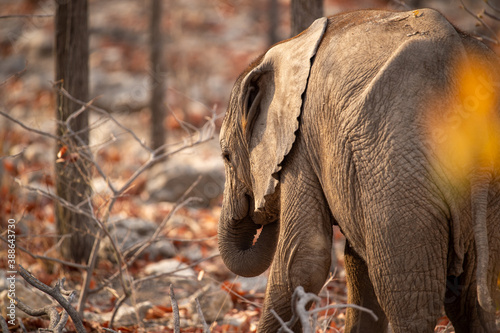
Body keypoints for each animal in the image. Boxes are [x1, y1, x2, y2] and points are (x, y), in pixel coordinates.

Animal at [218, 8, 500, 332]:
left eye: (226, 156)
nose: (262, 205)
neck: (289, 46)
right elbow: (355, 260)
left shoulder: (301, 147)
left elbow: (303, 261)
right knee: (472, 301)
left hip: (396, 177)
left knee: (409, 302)